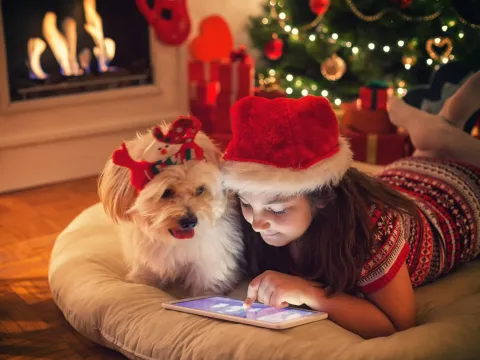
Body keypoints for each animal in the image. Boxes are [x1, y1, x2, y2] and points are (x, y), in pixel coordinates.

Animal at [100, 117, 244, 296]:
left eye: (200, 189)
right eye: (167, 192)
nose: (190, 221)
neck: (171, 240)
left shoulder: (210, 266)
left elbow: (205, 289)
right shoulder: (146, 263)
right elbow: (144, 281)